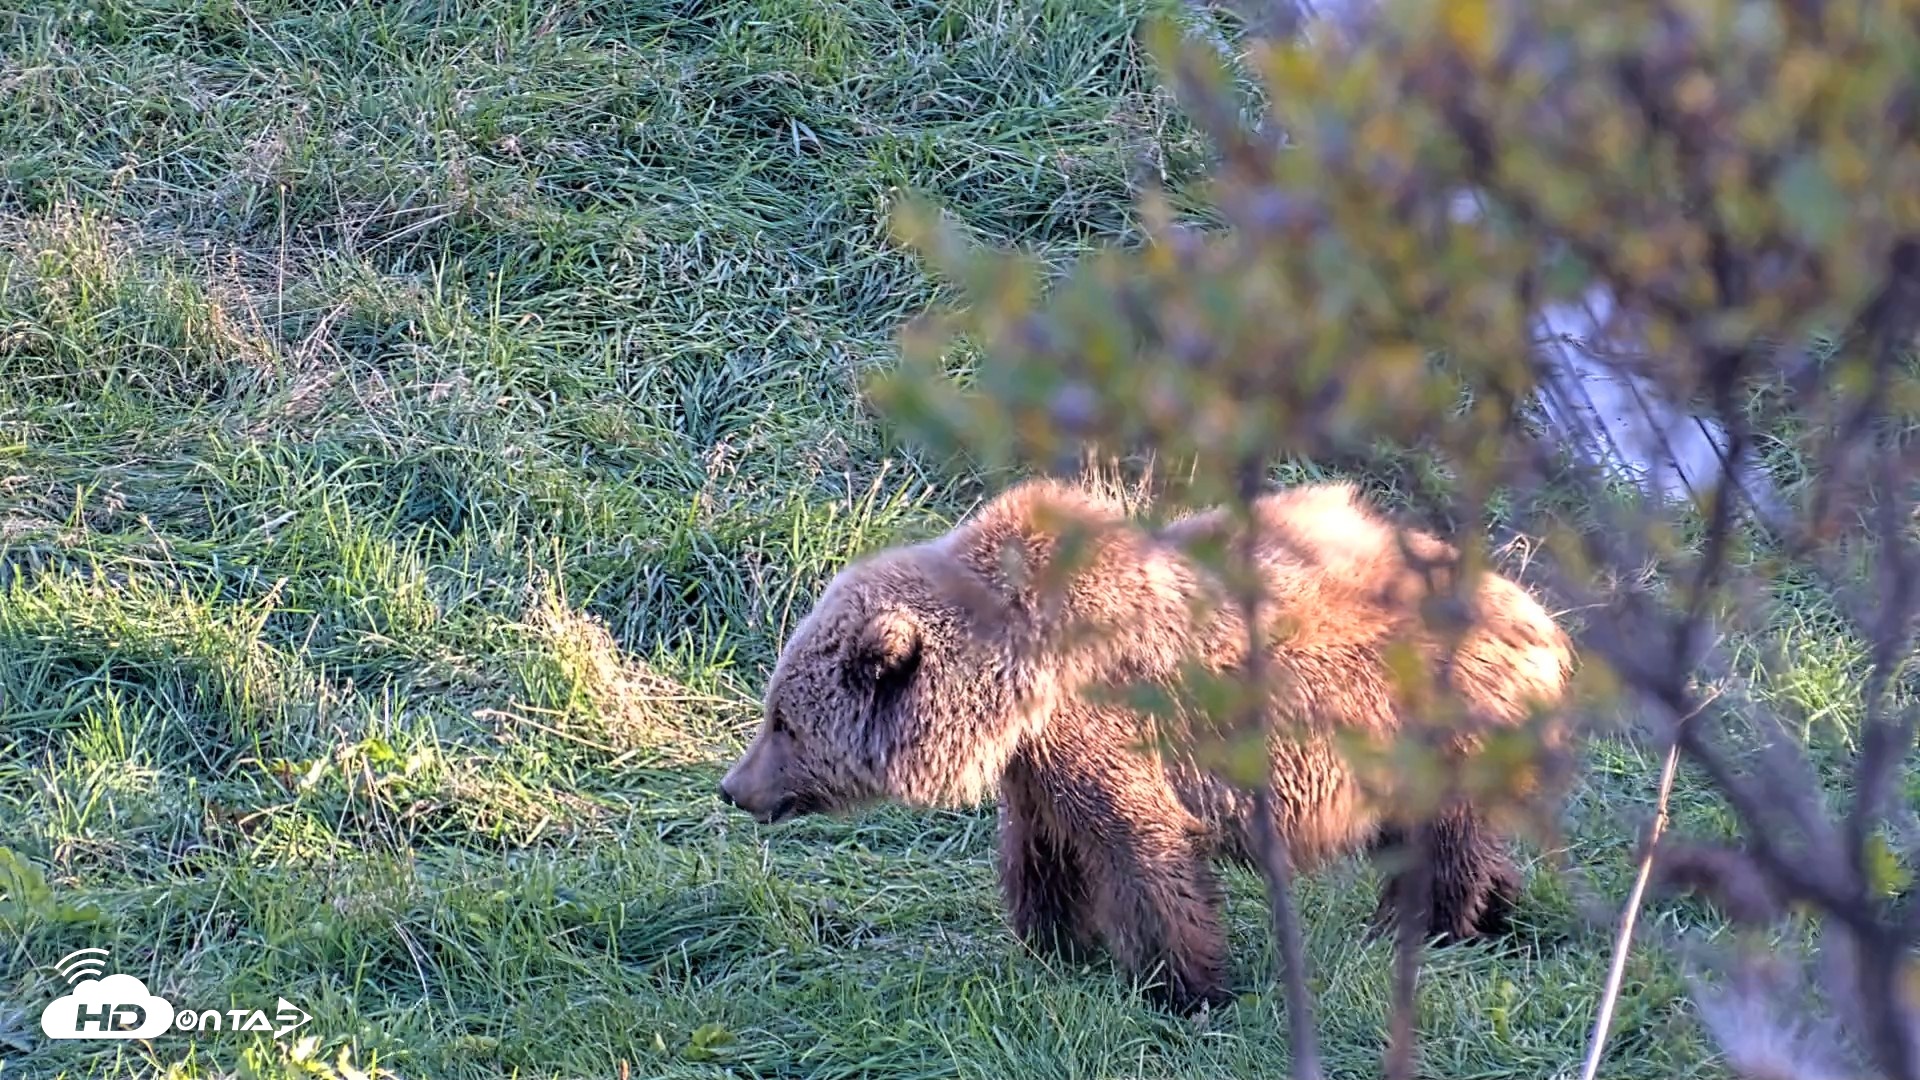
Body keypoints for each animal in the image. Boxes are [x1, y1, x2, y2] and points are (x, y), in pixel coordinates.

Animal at [717, 476, 1575, 1013]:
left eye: (783, 721)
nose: (734, 787)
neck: (1013, 681)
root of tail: (1543, 619)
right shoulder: (1038, 762)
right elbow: (1043, 850)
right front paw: (1052, 946)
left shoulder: (1107, 721)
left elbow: (1140, 848)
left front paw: (1185, 987)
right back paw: (1492, 908)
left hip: (1428, 720)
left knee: (1439, 838)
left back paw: (1420, 925)